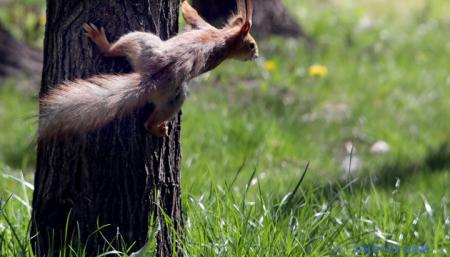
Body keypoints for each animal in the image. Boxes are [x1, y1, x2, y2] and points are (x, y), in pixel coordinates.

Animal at [40, 0, 258, 140]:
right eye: (251, 45)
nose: (256, 56)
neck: (224, 38)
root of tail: (154, 77)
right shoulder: (204, 27)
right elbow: (192, 14)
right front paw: (184, 2)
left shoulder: (204, 30)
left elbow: (192, 16)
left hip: (146, 49)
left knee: (147, 122)